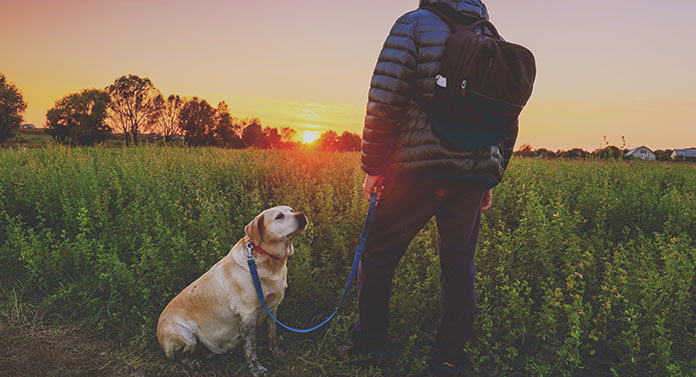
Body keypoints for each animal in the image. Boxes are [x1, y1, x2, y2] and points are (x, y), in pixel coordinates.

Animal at [158, 207, 310, 374]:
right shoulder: (247, 313)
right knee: (178, 356)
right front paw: (256, 368)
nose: (302, 215)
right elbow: (250, 347)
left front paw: (275, 352)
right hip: (186, 334)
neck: (268, 260)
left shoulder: (273, 307)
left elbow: (272, 334)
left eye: (292, 210)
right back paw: (193, 363)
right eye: (279, 217)